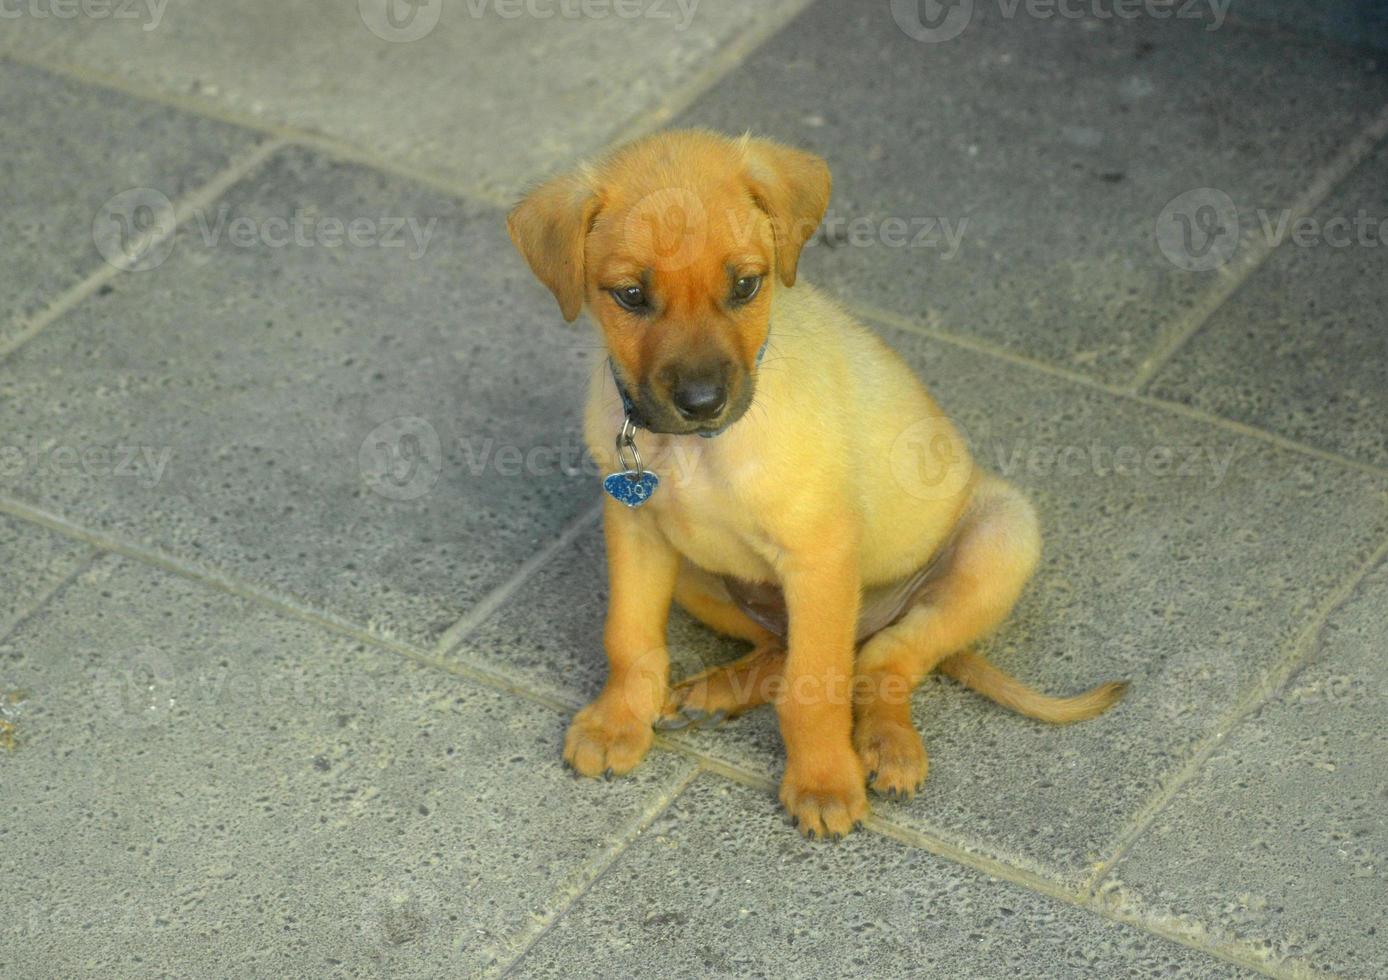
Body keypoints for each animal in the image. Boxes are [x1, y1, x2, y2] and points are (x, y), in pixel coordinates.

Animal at [510, 126, 1127, 838]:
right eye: (631, 296)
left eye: (746, 285)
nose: (702, 402)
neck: (698, 451)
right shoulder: (636, 530)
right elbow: (629, 637)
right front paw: (617, 723)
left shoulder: (820, 556)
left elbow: (817, 685)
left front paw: (824, 782)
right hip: (699, 577)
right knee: (785, 650)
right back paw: (714, 691)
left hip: (999, 537)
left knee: (880, 662)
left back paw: (887, 744)